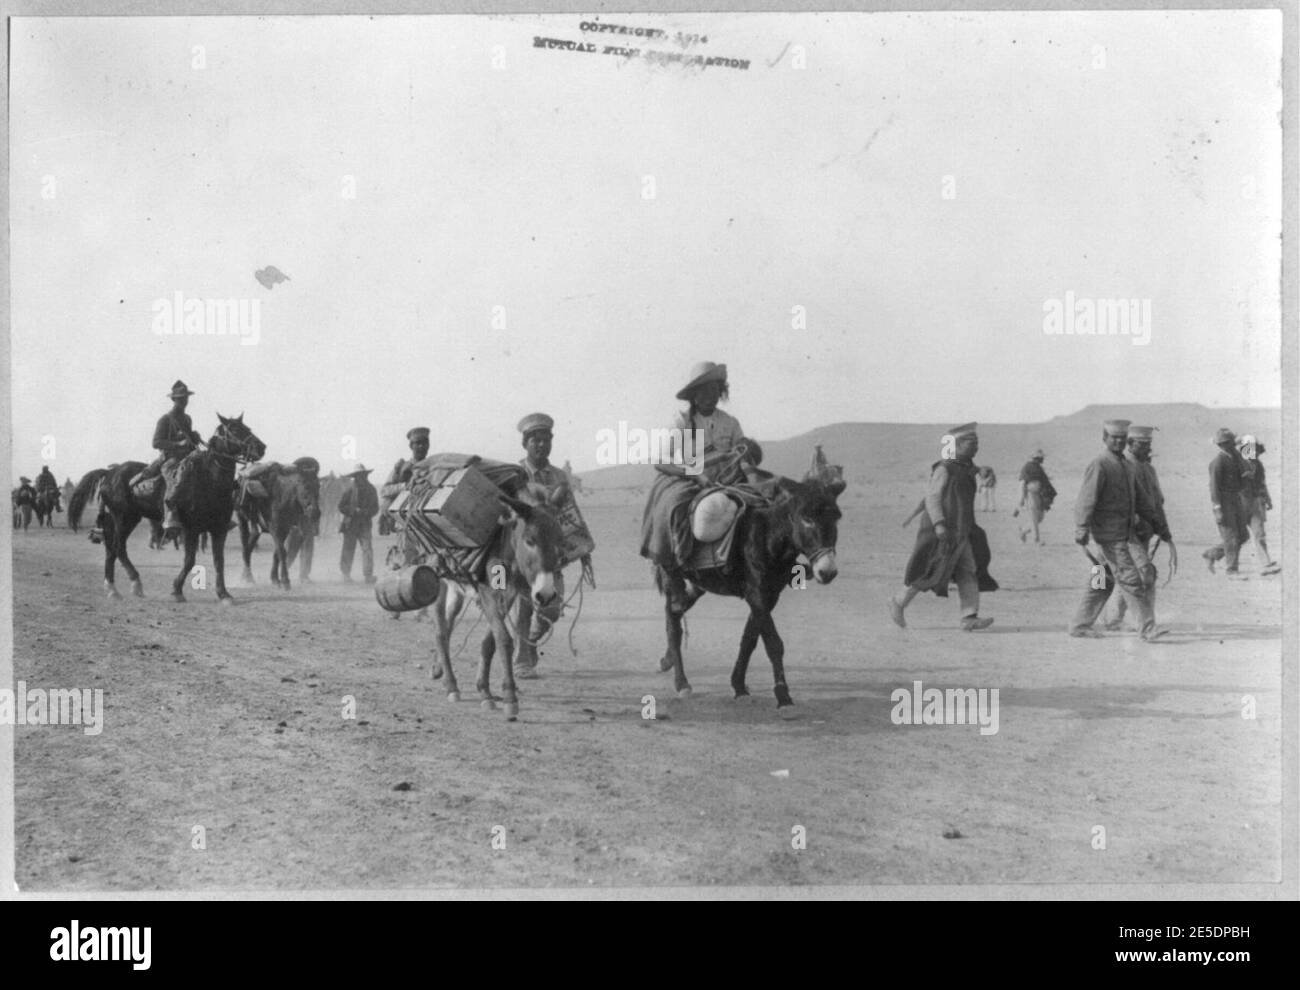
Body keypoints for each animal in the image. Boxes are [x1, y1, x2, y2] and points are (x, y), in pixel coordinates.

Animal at [92, 410, 266, 597]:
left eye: (247, 427)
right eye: (234, 429)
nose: (261, 447)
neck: (209, 481)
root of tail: (109, 473)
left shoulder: (219, 529)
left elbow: (219, 561)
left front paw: (224, 594)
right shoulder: (191, 529)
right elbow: (190, 561)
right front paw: (177, 590)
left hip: (124, 519)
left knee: (111, 549)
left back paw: (112, 588)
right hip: (123, 518)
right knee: (118, 548)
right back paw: (135, 583)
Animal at [236, 454, 322, 587]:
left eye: (318, 485)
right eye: (304, 485)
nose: (315, 512)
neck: (283, 498)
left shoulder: (285, 530)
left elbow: (277, 553)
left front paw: (275, 579)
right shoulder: (275, 529)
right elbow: (282, 551)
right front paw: (285, 581)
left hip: (256, 527)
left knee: (250, 544)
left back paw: (245, 576)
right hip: (242, 520)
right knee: (245, 547)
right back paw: (248, 577)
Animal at [647, 475, 842, 706]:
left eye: (836, 519)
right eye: (806, 519)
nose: (827, 572)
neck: (767, 535)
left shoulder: (769, 596)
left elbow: (749, 639)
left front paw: (738, 685)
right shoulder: (756, 594)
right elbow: (773, 644)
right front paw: (783, 695)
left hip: (697, 584)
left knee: (675, 611)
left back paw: (666, 661)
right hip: (670, 572)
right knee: (674, 623)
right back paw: (681, 683)